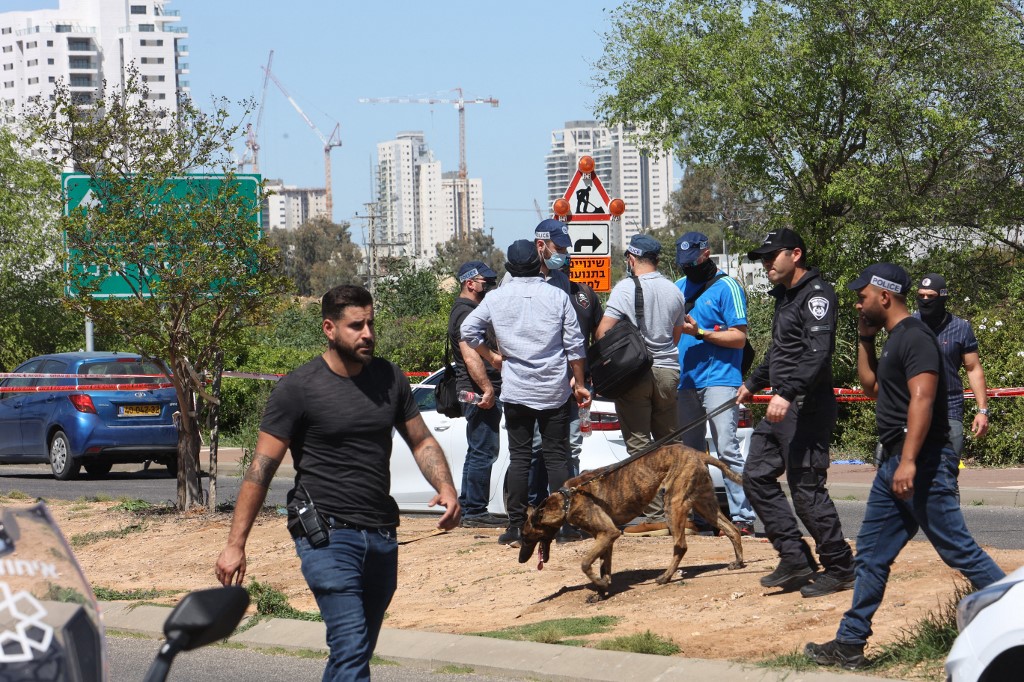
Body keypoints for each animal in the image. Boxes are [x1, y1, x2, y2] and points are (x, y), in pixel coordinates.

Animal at [520, 440, 745, 593]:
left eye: (525, 536)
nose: (521, 559)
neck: (567, 500)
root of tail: (698, 453)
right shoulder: (605, 537)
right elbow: (604, 566)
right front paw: (602, 590)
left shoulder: (608, 533)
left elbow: (585, 563)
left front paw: (599, 585)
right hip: (704, 505)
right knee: (732, 529)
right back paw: (738, 562)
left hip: (673, 505)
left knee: (681, 546)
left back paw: (665, 577)